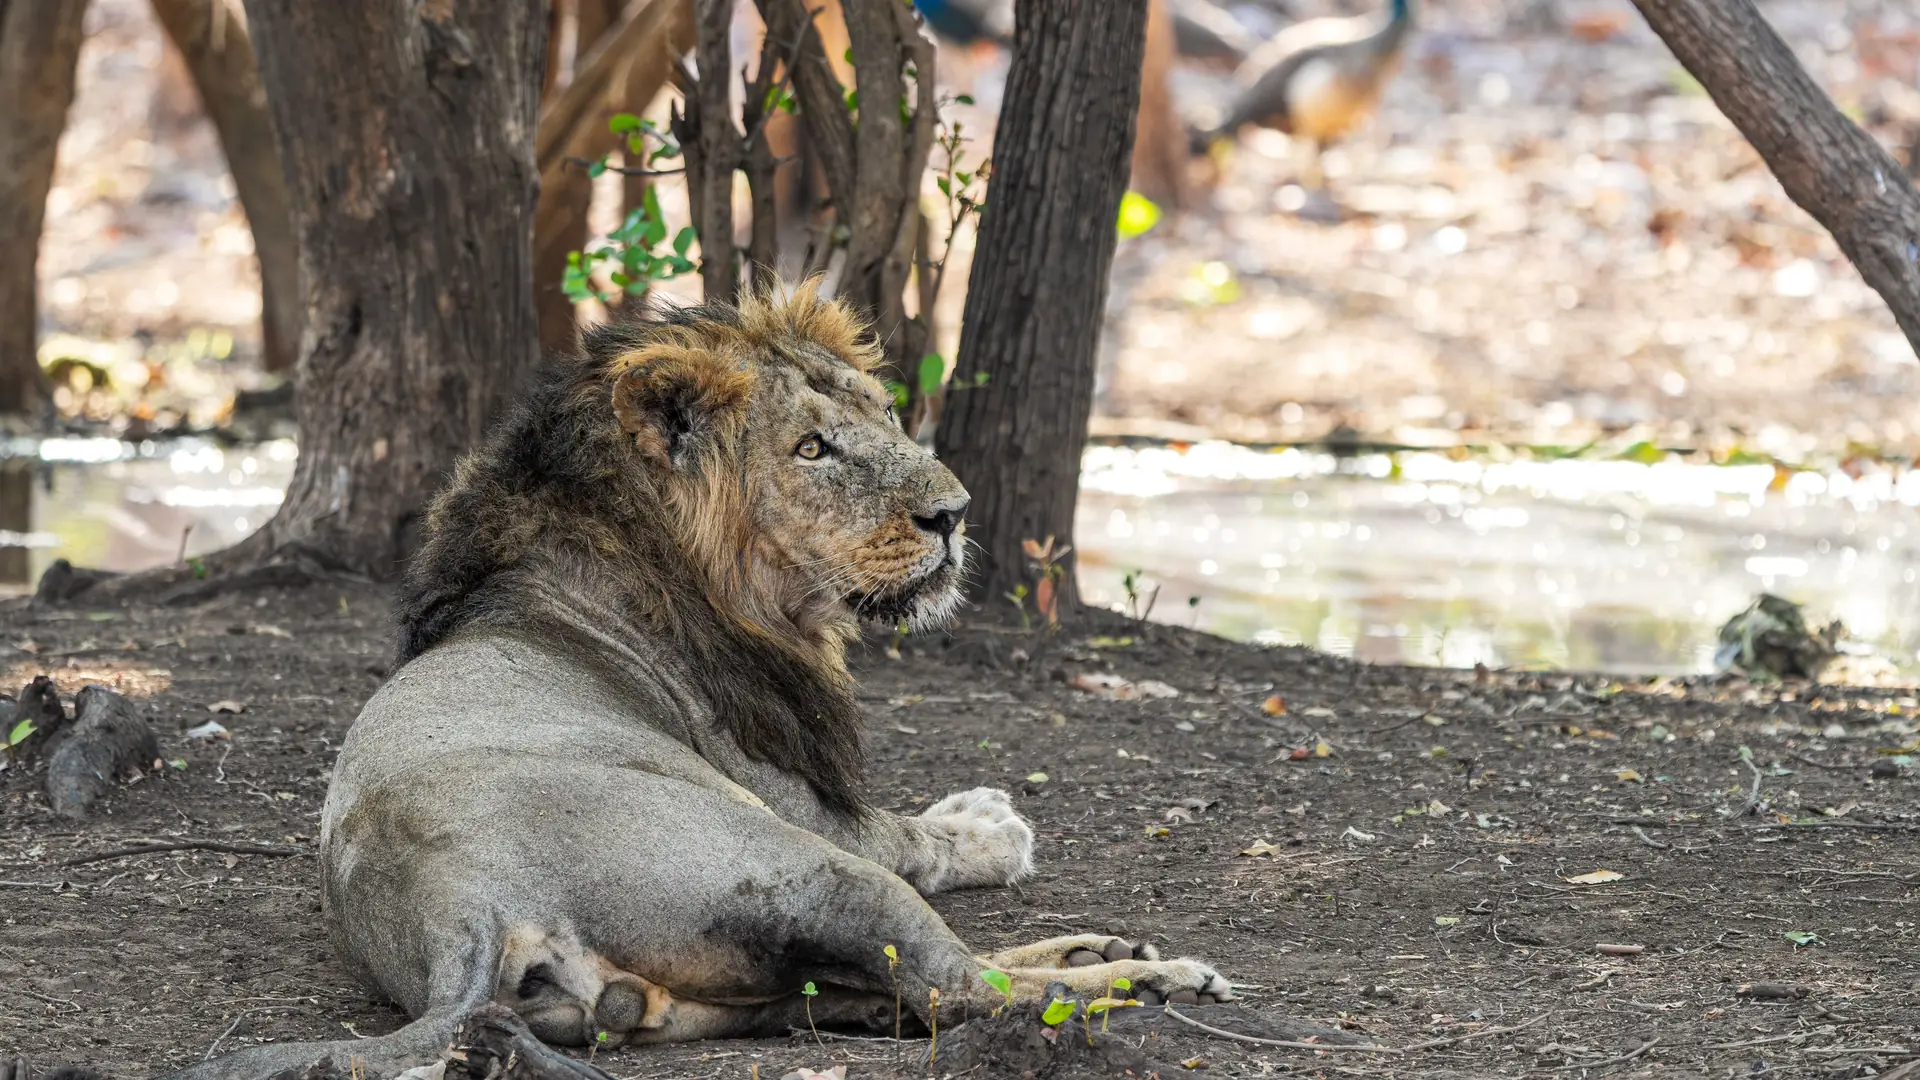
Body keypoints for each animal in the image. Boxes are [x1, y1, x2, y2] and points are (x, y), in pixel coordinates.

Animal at [174, 286, 1232, 1080]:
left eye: (885, 414)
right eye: (812, 448)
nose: (954, 513)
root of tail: (457, 907)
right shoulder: (802, 804)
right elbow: (913, 837)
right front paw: (988, 824)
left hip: (707, 992)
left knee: (896, 993)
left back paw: (1105, 955)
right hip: (800, 866)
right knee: (956, 986)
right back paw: (1147, 978)